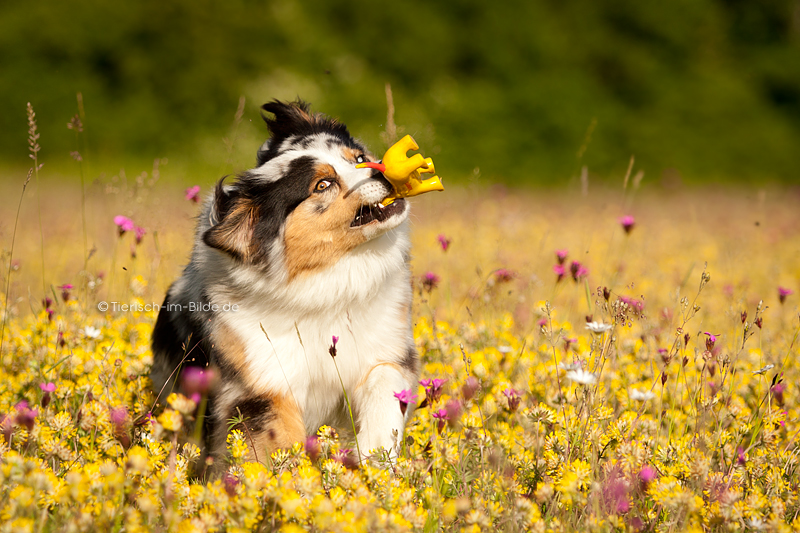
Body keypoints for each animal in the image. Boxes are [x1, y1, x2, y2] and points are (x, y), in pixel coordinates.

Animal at [152, 100, 422, 466]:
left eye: (358, 159)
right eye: (323, 184)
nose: (383, 172)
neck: (324, 286)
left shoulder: (386, 349)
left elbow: (384, 386)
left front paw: (374, 457)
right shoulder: (262, 385)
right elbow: (280, 447)